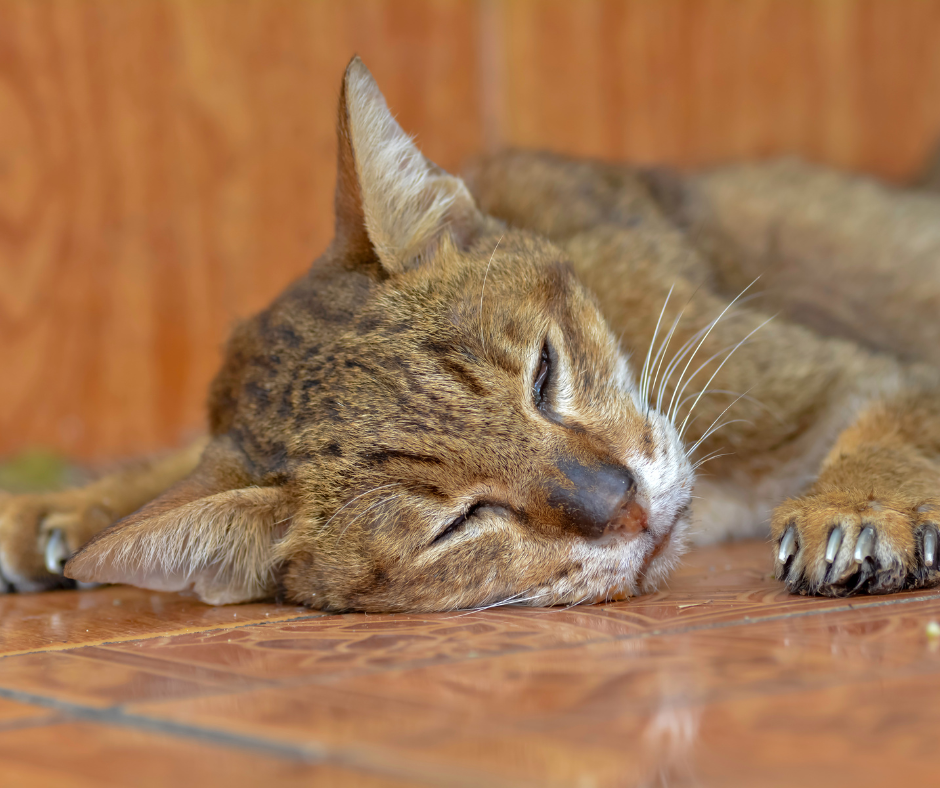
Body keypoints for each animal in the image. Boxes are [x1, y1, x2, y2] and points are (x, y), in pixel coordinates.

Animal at [1, 58, 940, 612]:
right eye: (458, 523)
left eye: (544, 374)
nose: (625, 504)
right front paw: (65, 506)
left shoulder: (862, 374)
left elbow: (892, 422)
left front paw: (860, 504)